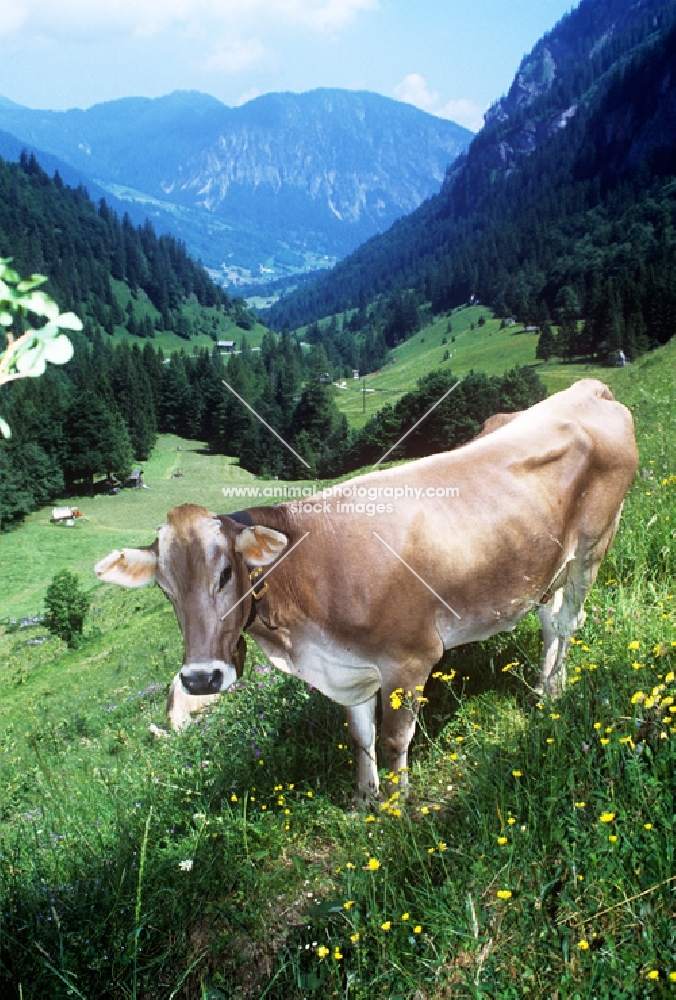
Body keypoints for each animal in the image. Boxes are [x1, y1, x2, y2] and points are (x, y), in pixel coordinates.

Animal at [96, 378, 640, 800]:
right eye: (165, 588)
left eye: (226, 572)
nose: (200, 679)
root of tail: (585, 389)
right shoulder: (348, 673)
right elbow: (360, 738)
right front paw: (364, 802)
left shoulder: (410, 659)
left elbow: (394, 741)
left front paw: (397, 808)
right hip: (543, 565)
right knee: (549, 618)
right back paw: (548, 683)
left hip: (594, 544)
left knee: (569, 621)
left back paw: (551, 693)